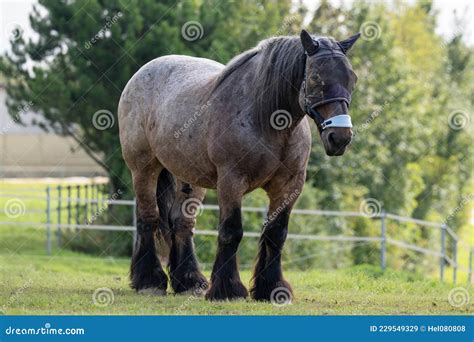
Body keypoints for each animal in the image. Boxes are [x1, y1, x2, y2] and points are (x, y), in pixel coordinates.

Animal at [118, 30, 360, 302]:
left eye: (352, 78)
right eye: (316, 77)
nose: (340, 138)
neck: (266, 118)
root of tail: (142, 72)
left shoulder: (289, 186)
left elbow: (276, 233)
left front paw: (271, 288)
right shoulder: (231, 181)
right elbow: (231, 232)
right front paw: (228, 289)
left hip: (188, 178)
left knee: (182, 223)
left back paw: (189, 281)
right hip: (143, 169)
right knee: (148, 217)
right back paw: (149, 280)